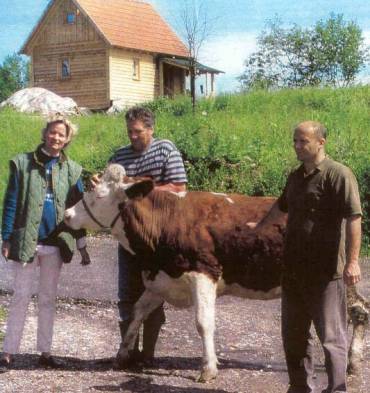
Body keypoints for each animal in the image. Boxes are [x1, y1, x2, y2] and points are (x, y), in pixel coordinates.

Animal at [63, 164, 368, 382]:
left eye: (98, 195)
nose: (67, 215)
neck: (166, 220)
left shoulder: (204, 273)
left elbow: (203, 322)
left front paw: (208, 368)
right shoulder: (162, 278)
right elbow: (136, 314)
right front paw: (122, 354)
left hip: (339, 277)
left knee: (359, 310)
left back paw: (352, 361)